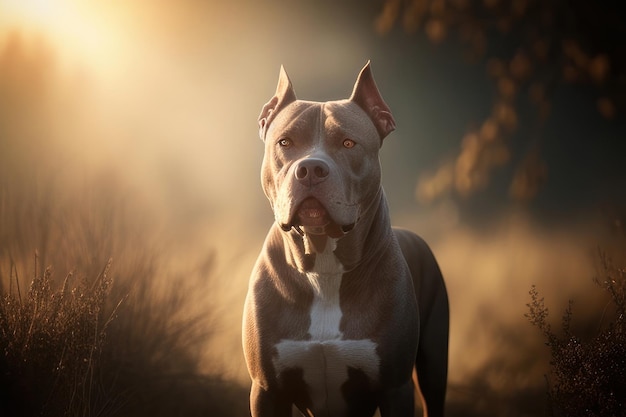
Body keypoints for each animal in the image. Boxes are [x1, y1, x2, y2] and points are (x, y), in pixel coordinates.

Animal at [241, 61, 446, 416]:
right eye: (285, 143)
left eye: (349, 143)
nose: (310, 169)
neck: (324, 266)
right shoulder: (266, 390)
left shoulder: (395, 388)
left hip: (434, 367)